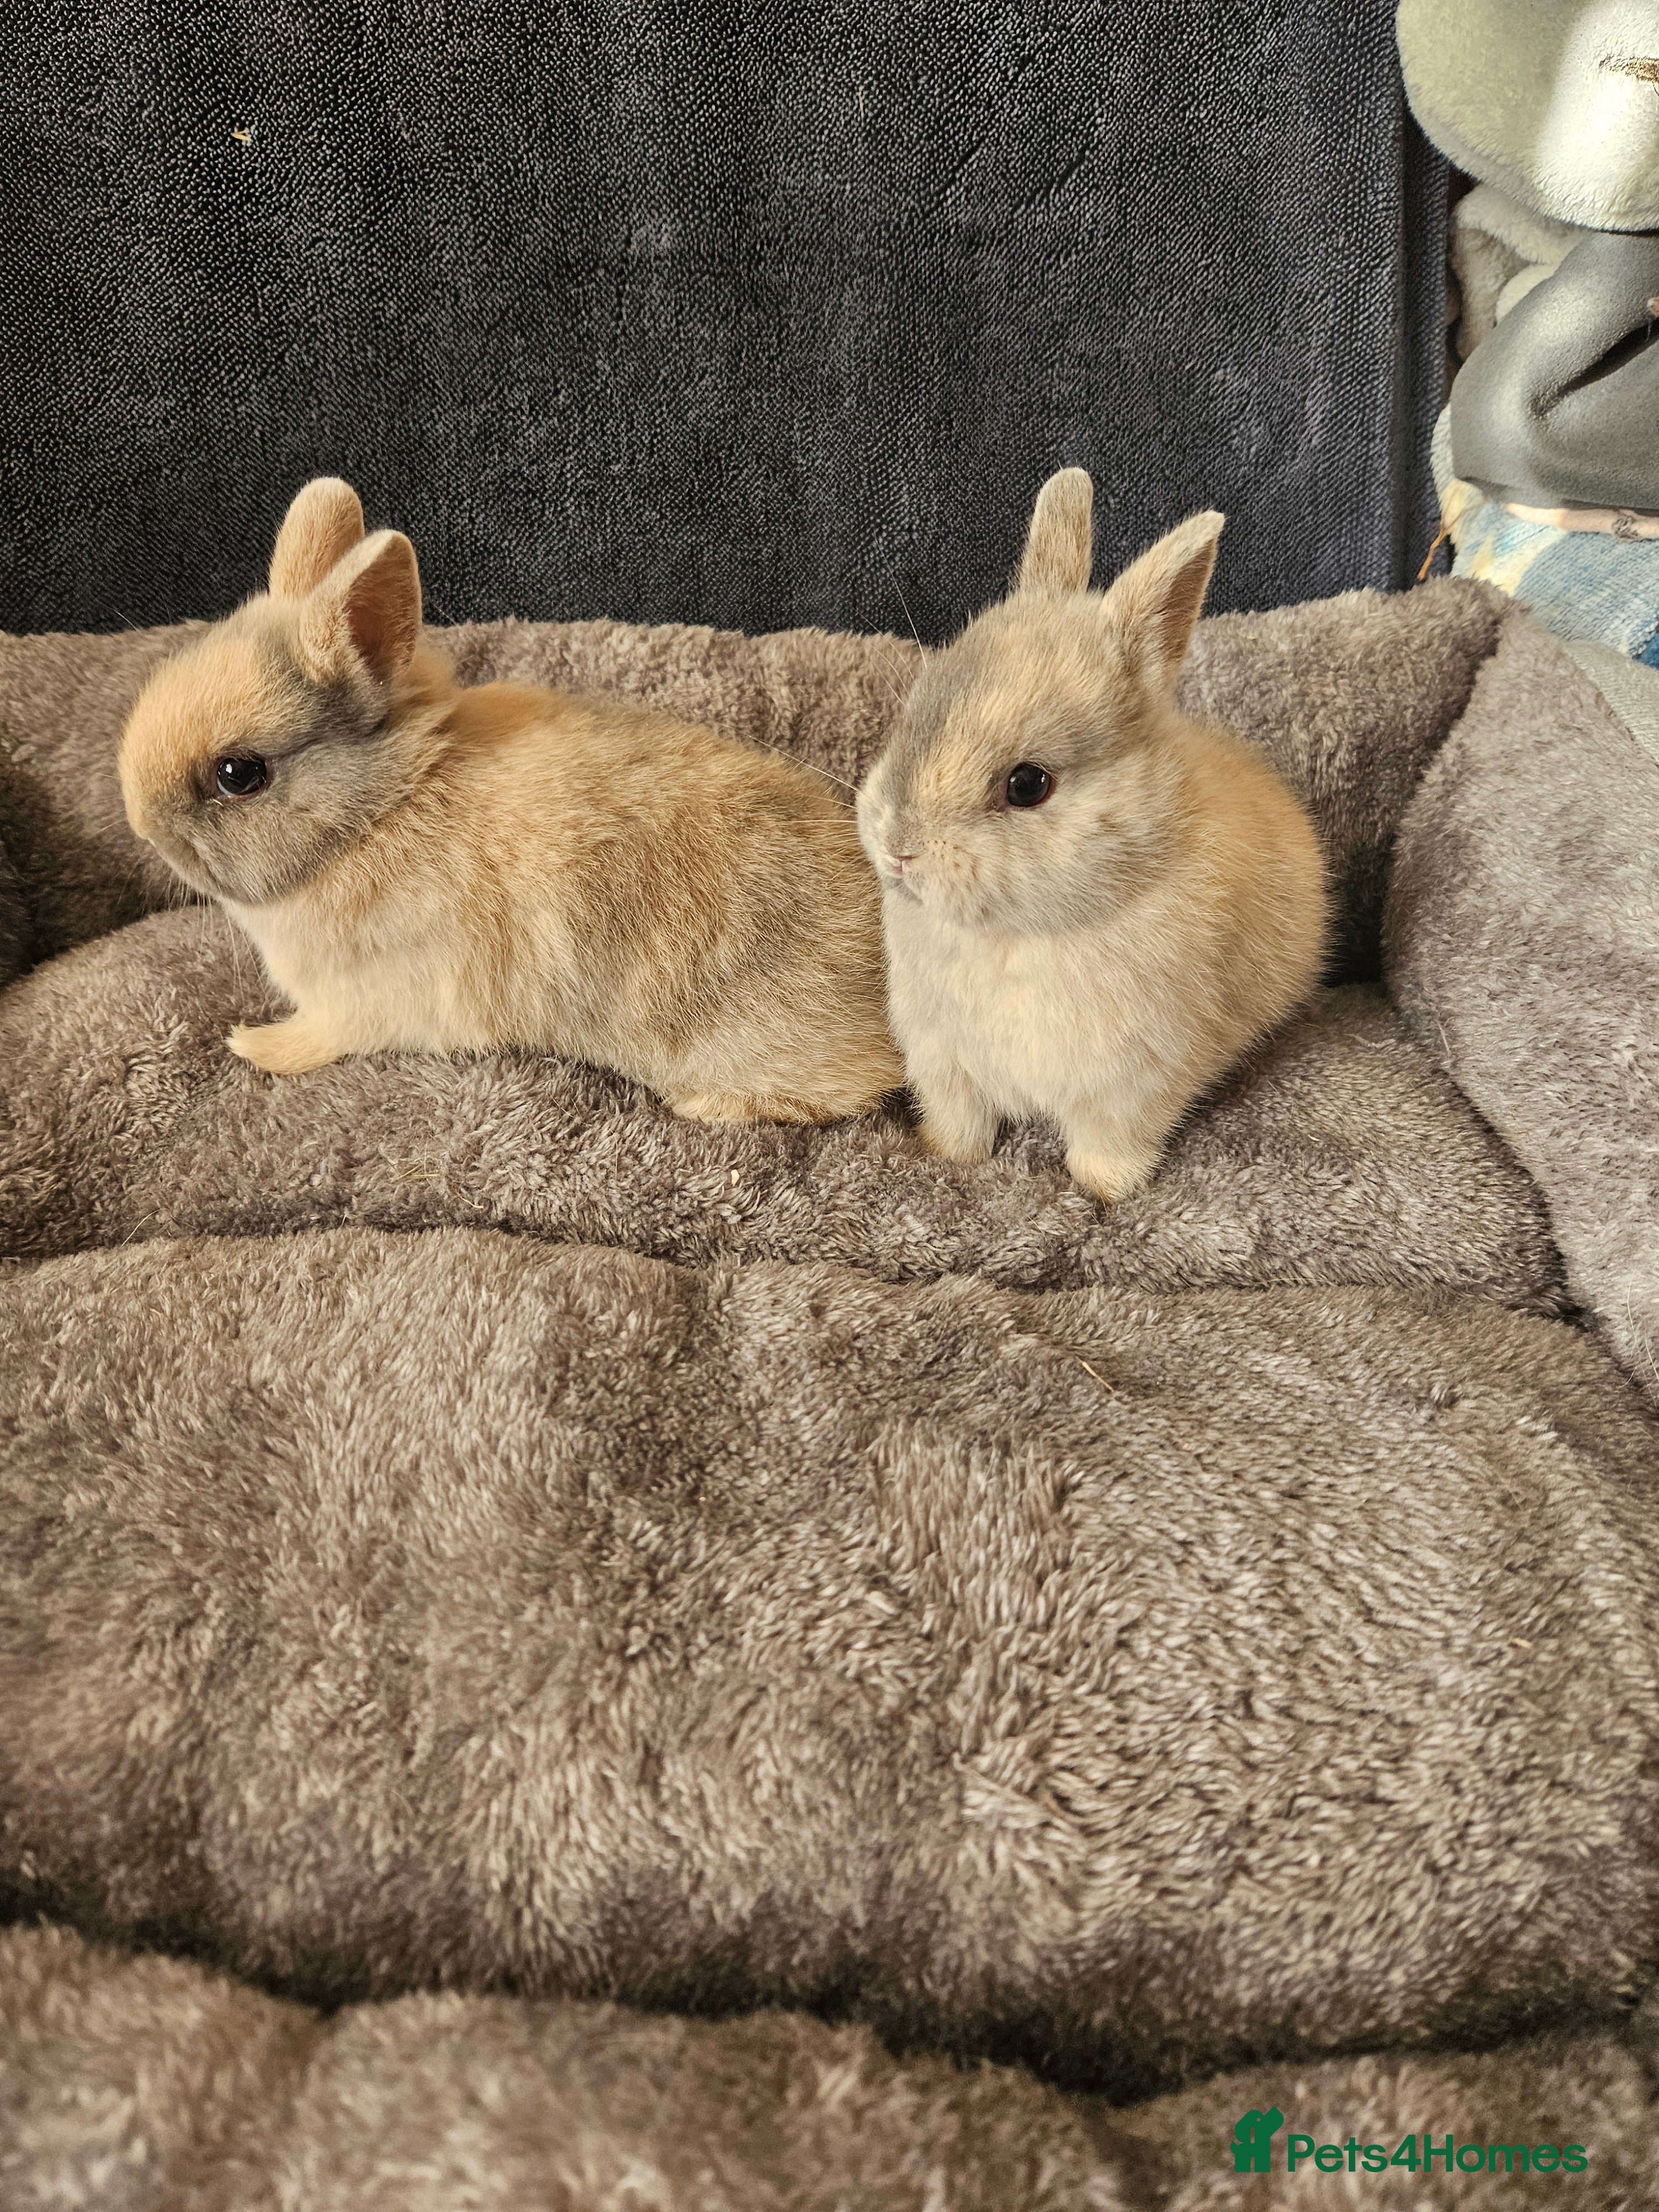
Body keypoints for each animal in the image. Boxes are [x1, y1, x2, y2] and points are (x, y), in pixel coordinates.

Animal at [118, 477, 903, 1124]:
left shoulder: (364, 1001)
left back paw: (700, 1104)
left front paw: (254, 1045)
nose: (139, 823)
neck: (377, 812)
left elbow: (320, 1038)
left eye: (238, 774)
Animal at [855, 468, 1327, 1202]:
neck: (1016, 937)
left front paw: (1104, 1199)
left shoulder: (1131, 1087)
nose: (898, 849)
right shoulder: (943, 1062)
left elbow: (1106, 1151)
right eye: (913, 712)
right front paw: (946, 1159)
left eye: (1028, 784)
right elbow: (961, 1126)